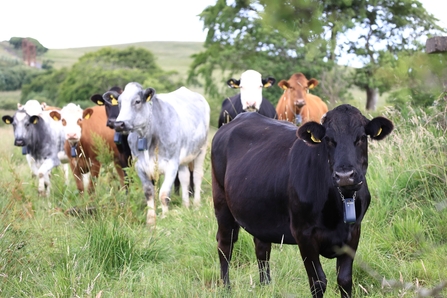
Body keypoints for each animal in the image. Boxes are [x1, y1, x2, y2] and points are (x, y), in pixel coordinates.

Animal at [105, 82, 210, 225]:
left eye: (137, 101)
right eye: (119, 103)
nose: (118, 124)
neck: (147, 137)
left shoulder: (171, 164)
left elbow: (164, 194)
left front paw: (165, 217)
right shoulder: (140, 166)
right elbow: (149, 192)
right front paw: (150, 219)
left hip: (201, 150)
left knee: (197, 176)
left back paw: (196, 204)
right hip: (182, 158)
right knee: (185, 178)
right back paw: (185, 205)